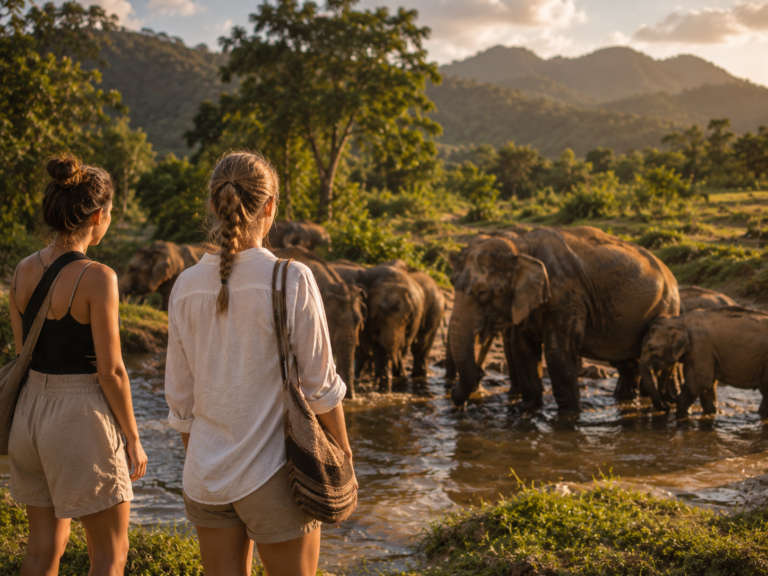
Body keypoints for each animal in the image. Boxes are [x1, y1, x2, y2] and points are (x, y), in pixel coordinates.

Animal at [448, 227, 680, 412]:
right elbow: (522, 349)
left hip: (664, 309)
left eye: (483, 293)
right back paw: (624, 400)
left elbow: (557, 354)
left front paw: (567, 417)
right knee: (627, 363)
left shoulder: (566, 298)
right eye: (453, 282)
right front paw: (527, 410)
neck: (522, 245)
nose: (461, 404)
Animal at [640, 307, 768, 418]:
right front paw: (711, 413)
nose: (666, 407)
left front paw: (682, 416)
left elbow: (698, 383)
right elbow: (708, 385)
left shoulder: (700, 346)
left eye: (651, 348)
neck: (680, 320)